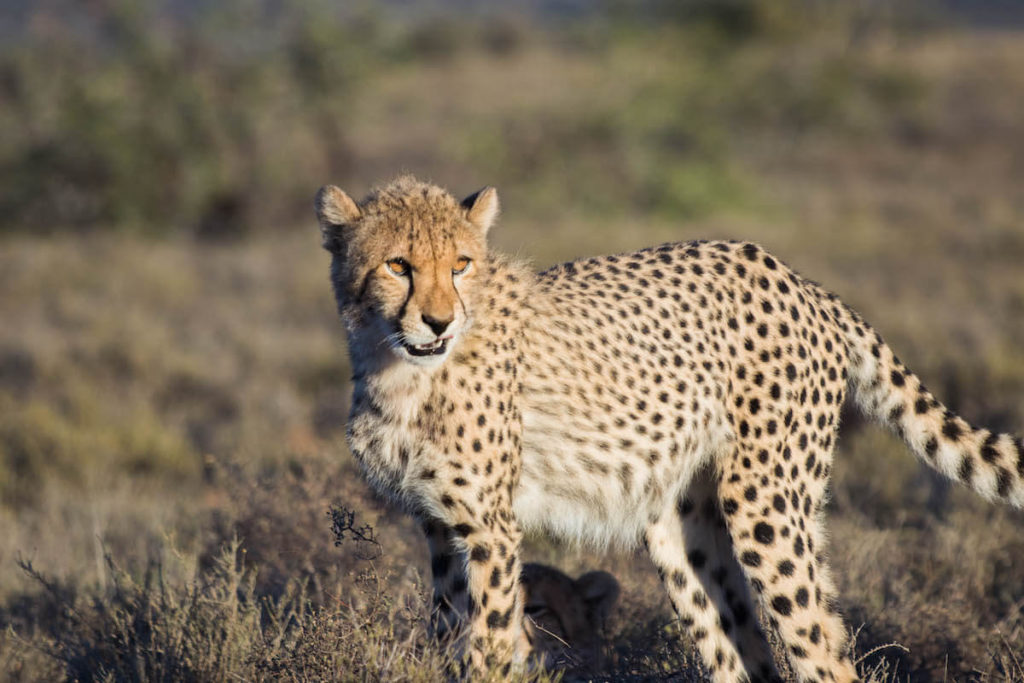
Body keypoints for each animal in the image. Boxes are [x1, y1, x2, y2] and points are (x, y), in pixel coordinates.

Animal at [313, 178, 1024, 683]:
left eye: (460, 263)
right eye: (398, 265)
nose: (439, 322)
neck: (398, 366)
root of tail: (799, 280)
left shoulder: (490, 527)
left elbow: (489, 640)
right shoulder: (439, 526)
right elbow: (449, 633)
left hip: (767, 507)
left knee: (823, 652)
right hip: (683, 534)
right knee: (744, 655)